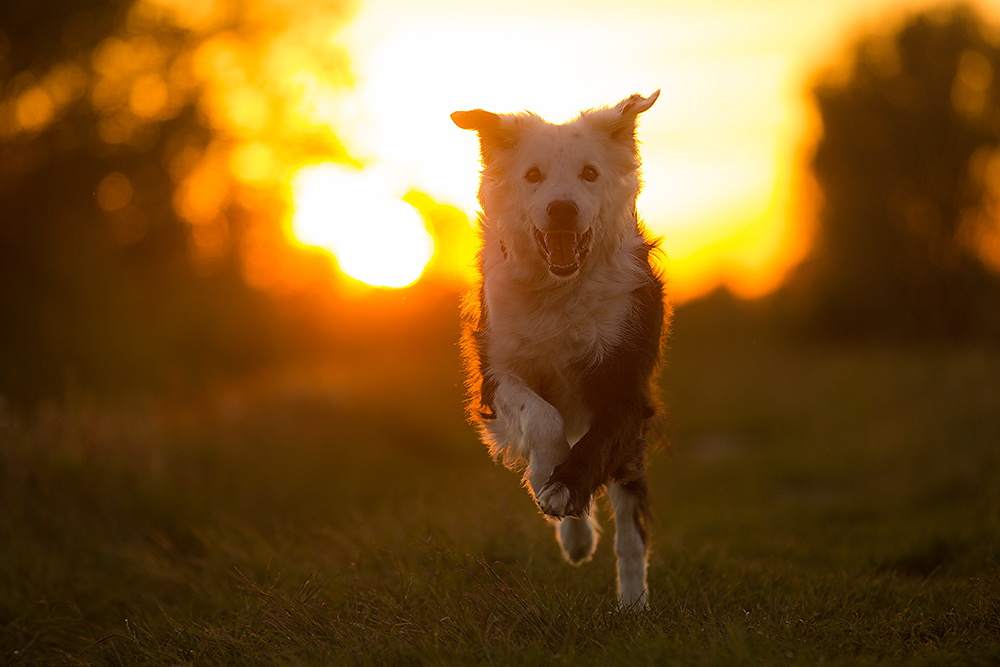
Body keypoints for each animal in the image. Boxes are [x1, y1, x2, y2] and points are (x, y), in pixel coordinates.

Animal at [452, 91, 668, 608]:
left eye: (589, 172)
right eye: (533, 175)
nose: (563, 210)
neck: (559, 290)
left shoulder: (625, 390)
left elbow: (596, 449)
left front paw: (563, 488)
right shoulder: (497, 370)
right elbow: (541, 417)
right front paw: (547, 477)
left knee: (630, 526)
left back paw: (634, 603)